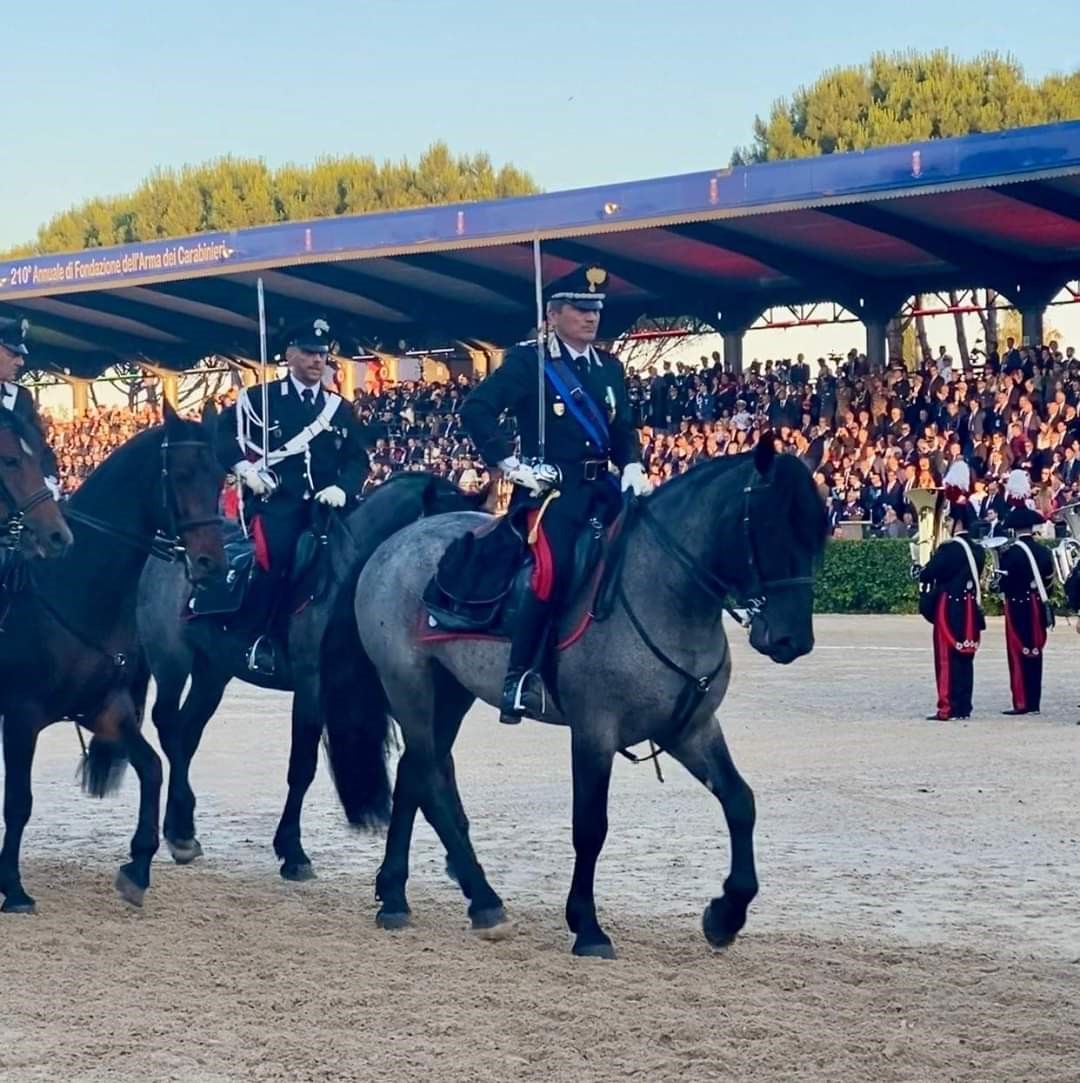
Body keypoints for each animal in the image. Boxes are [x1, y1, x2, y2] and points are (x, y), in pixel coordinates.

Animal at [134, 474, 485, 879]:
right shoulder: (311, 686)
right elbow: (302, 767)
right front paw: (292, 851)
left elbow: (439, 762)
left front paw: (459, 853)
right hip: (172, 661)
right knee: (168, 724)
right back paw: (181, 830)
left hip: (213, 672)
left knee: (187, 733)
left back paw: (181, 829)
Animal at [348, 435, 823, 961]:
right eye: (770, 528)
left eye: (816, 534)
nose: (793, 640)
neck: (663, 591)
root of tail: (398, 540)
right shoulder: (595, 731)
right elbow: (590, 826)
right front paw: (588, 926)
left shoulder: (691, 728)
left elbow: (740, 801)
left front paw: (726, 914)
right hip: (408, 683)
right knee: (430, 779)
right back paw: (484, 901)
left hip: (449, 693)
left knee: (414, 773)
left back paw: (395, 894)